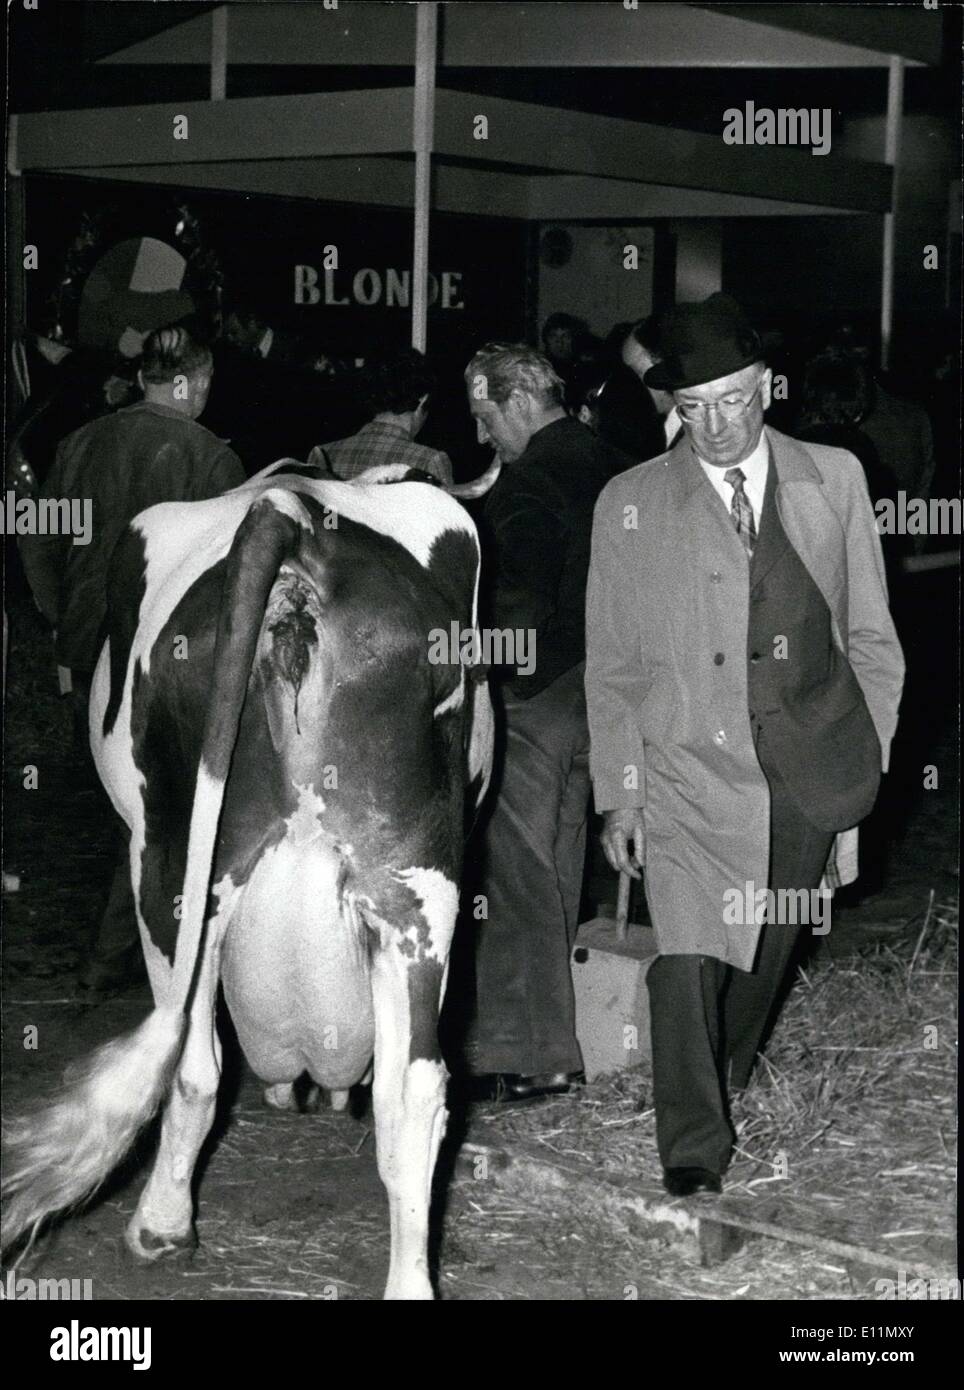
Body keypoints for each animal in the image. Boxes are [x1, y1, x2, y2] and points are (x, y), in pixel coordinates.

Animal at [0, 461, 494, 1295]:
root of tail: (290, 514)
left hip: (169, 868)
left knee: (193, 1059)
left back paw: (161, 1225)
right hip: (415, 885)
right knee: (414, 1090)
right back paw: (408, 1280)